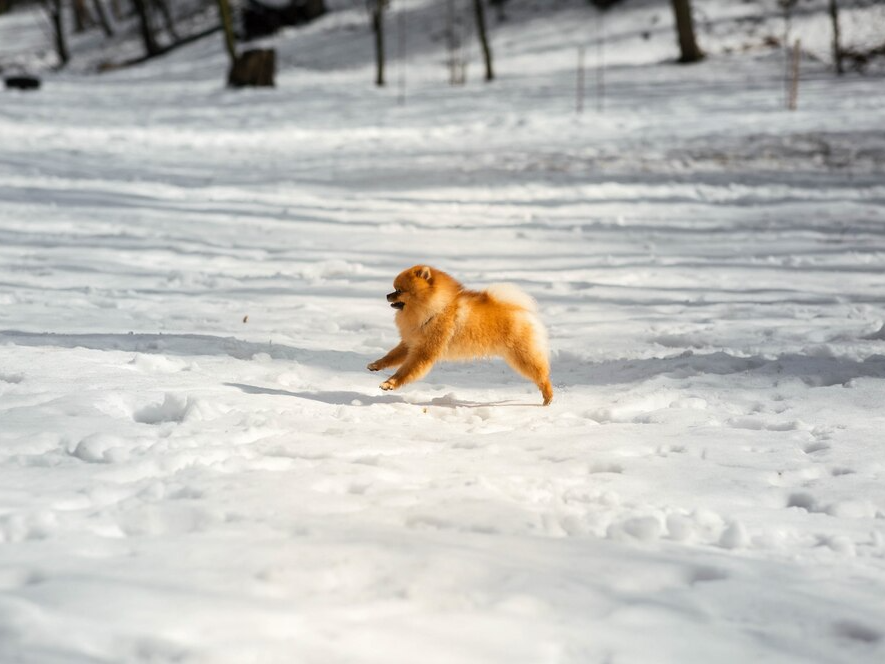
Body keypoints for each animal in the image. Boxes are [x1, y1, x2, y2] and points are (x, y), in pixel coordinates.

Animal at [368, 264, 552, 404]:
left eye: (399, 290)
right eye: (394, 289)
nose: (387, 295)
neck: (435, 310)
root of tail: (520, 309)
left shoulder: (424, 351)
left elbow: (405, 371)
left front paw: (389, 383)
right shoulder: (411, 342)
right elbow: (391, 356)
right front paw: (376, 365)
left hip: (522, 355)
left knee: (542, 375)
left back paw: (548, 396)